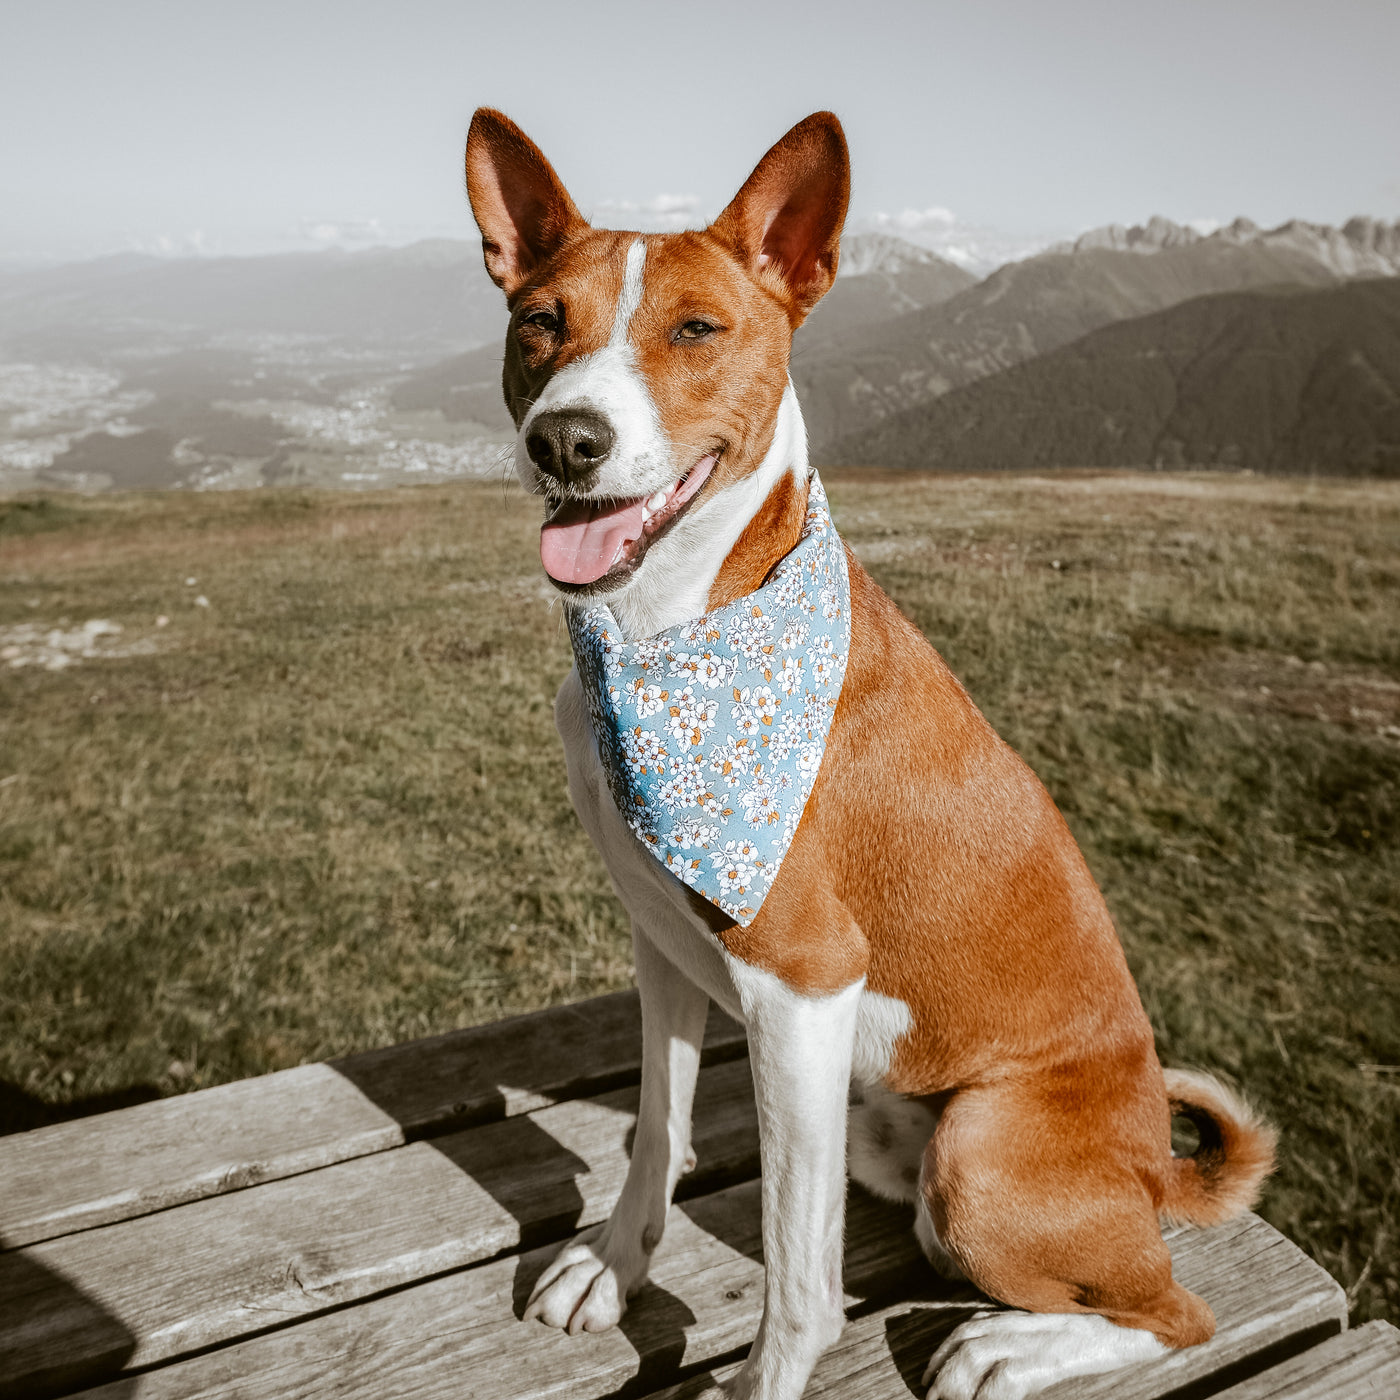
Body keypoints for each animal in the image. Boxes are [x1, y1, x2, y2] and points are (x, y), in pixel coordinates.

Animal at [464, 109, 1276, 1400]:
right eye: (541, 319)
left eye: (696, 328)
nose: (566, 440)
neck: (666, 633)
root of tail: (1155, 1168)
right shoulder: (662, 941)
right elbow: (659, 1129)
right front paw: (614, 1266)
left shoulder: (799, 984)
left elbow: (797, 1271)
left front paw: (762, 1375)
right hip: (882, 1124)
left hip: (977, 1148)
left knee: (1171, 1306)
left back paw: (1006, 1345)